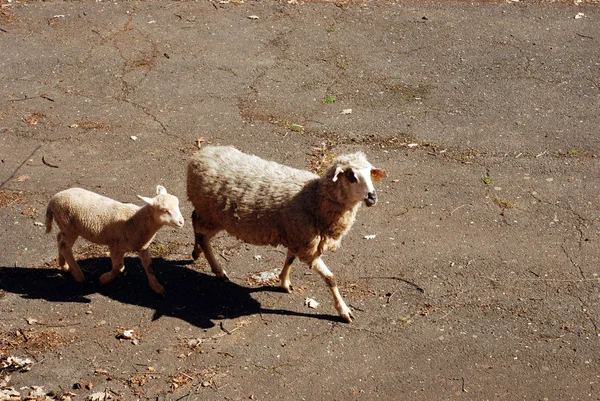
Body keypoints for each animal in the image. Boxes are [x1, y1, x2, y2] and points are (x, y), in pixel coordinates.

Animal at [45, 185, 183, 294]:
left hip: (65, 226)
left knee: (59, 239)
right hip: (68, 225)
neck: (135, 221)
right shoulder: (115, 246)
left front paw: (156, 287)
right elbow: (119, 268)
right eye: (164, 210)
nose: (181, 222)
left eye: (178, 205)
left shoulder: (143, 246)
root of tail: (53, 199)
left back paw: (64, 266)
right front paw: (103, 279)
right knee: (65, 246)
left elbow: (148, 266)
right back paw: (78, 274)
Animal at [186, 145, 390, 320]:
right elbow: (331, 279)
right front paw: (344, 310)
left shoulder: (297, 237)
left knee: (196, 223)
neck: (314, 199)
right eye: (351, 176)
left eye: (370, 174)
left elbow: (290, 258)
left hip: (209, 214)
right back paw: (215, 267)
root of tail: (201, 154)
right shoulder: (307, 246)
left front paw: (284, 282)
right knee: (200, 231)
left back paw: (197, 252)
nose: (372, 197)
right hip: (212, 214)